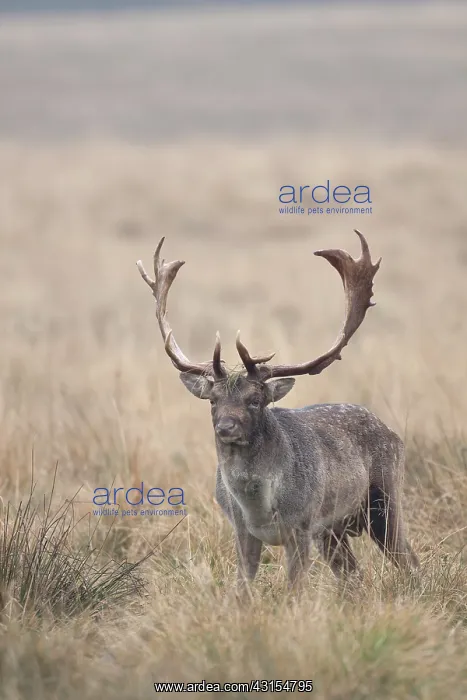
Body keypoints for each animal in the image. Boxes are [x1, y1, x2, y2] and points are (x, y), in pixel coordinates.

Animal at [136, 230, 419, 598]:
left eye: (255, 399)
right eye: (212, 400)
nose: (225, 427)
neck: (259, 508)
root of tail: (392, 432)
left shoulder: (301, 526)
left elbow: (295, 589)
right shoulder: (241, 530)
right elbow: (242, 588)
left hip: (384, 499)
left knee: (410, 562)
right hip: (334, 531)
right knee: (353, 573)